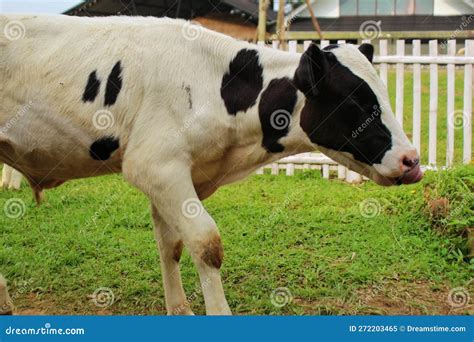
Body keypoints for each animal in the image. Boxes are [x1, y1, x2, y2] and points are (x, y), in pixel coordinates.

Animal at [0, 15, 422, 316]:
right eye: (354, 101)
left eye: (383, 94)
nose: (412, 161)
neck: (213, 84)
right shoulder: (156, 166)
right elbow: (206, 243)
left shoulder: (173, 178)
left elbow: (171, 245)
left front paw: (179, 310)